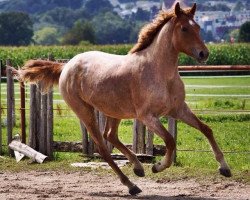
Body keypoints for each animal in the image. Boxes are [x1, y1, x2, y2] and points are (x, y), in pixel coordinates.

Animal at [14, 2, 231, 195]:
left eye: (198, 27)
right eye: (184, 28)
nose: (204, 54)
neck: (160, 72)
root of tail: (66, 66)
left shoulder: (178, 109)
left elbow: (206, 129)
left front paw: (225, 168)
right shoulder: (147, 117)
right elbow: (170, 141)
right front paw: (157, 167)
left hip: (114, 111)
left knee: (111, 135)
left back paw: (138, 168)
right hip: (85, 112)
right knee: (103, 146)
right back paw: (132, 185)